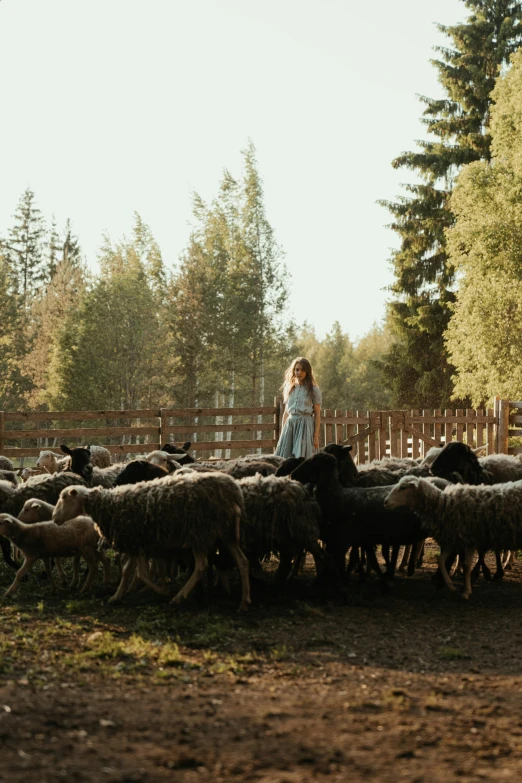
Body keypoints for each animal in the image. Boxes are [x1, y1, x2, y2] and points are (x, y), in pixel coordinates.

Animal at [52, 472, 250, 612]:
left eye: (64, 497)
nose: (53, 518)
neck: (107, 504)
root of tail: (235, 493)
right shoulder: (134, 542)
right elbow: (127, 571)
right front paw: (117, 596)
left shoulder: (138, 542)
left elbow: (141, 574)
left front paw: (163, 591)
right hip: (226, 534)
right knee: (242, 562)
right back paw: (244, 603)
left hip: (200, 532)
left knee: (201, 566)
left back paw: (178, 597)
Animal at [382, 478, 522, 600]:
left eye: (403, 487)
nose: (385, 502)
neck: (444, 505)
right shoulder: (454, 540)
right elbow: (441, 560)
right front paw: (451, 586)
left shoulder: (469, 539)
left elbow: (466, 565)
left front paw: (465, 592)